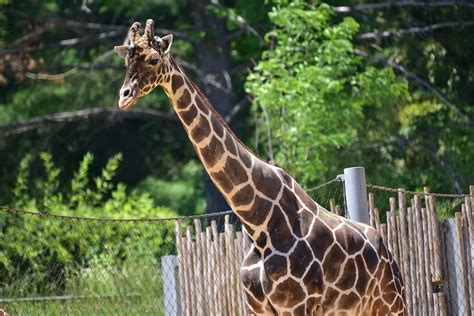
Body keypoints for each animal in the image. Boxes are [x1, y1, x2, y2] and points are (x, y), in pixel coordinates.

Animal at [114, 19, 404, 314]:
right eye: (126, 59)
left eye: (153, 58)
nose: (124, 97)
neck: (258, 222)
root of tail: (388, 253)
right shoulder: (257, 306)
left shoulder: (297, 305)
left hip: (391, 303)